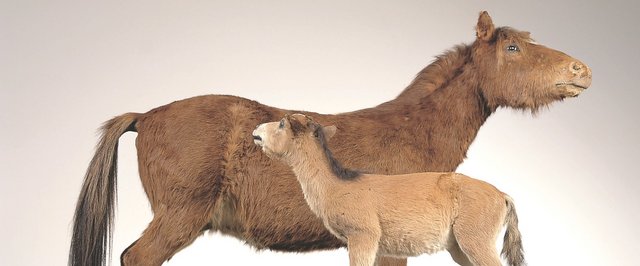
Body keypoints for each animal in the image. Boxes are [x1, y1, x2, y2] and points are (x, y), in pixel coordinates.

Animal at [252, 113, 528, 264]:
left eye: (281, 124)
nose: (256, 131)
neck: (337, 186)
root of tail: (503, 196)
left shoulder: (363, 235)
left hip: (475, 239)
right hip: (460, 247)